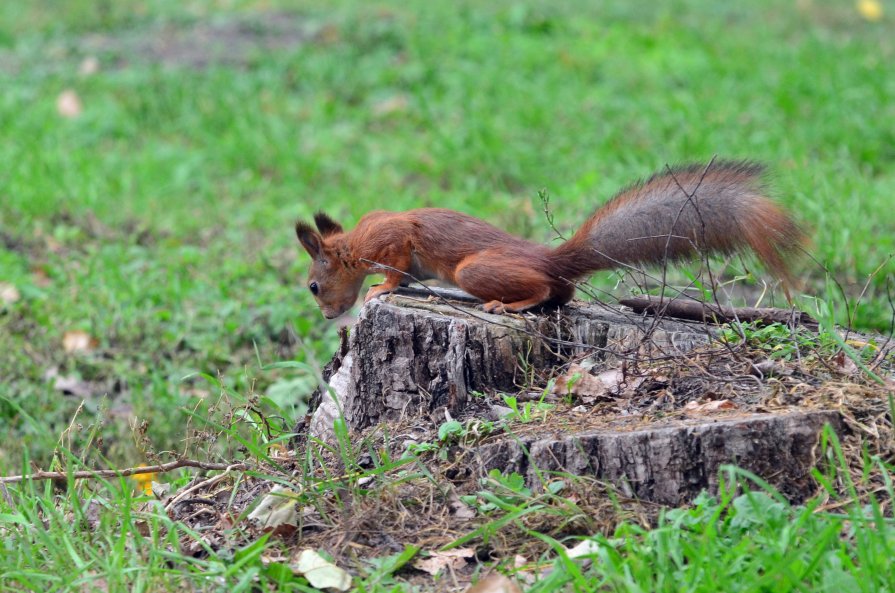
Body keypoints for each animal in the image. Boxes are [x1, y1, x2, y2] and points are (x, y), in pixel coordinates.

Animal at [294, 160, 804, 320]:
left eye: (314, 286)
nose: (327, 316)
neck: (353, 244)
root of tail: (551, 259)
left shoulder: (392, 239)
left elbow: (396, 267)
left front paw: (380, 289)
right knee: (564, 293)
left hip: (474, 269)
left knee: (540, 290)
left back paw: (509, 305)